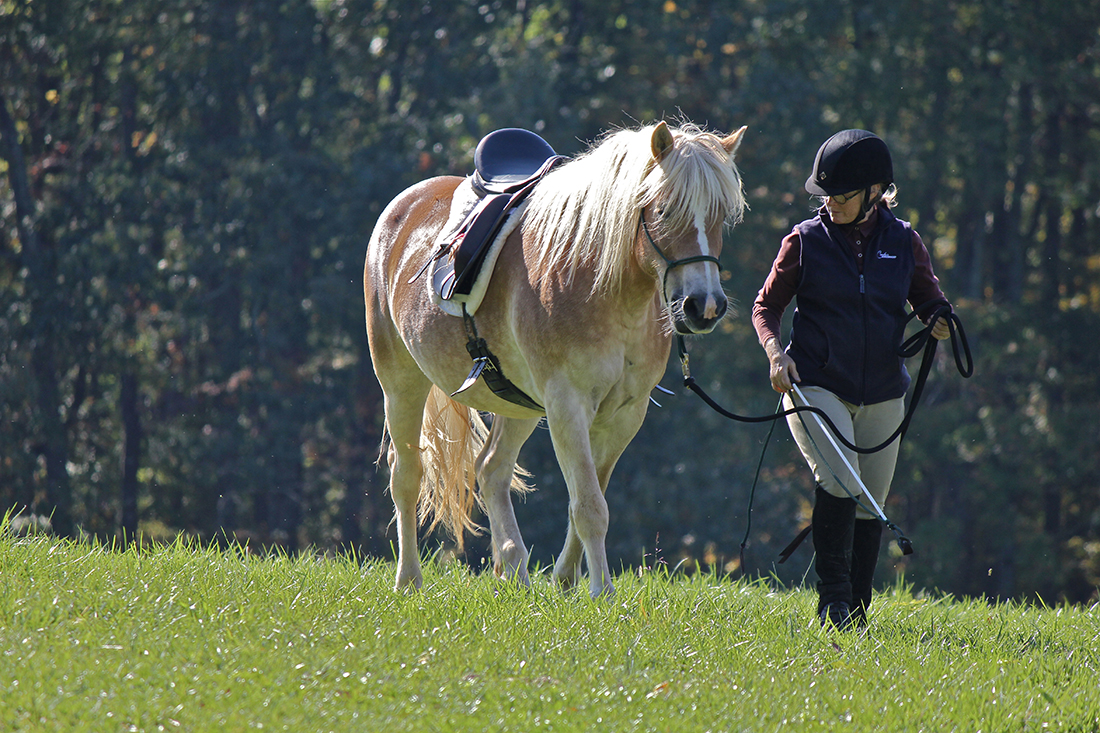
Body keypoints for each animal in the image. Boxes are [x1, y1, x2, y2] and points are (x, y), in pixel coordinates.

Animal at [364, 120, 747, 598]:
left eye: (720, 217)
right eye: (663, 211)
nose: (704, 306)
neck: (605, 288)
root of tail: (403, 208)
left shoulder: (624, 415)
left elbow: (585, 499)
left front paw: (566, 582)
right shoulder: (568, 404)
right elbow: (589, 507)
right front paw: (603, 594)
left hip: (519, 404)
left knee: (490, 469)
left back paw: (514, 570)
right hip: (401, 384)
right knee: (407, 476)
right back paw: (409, 580)